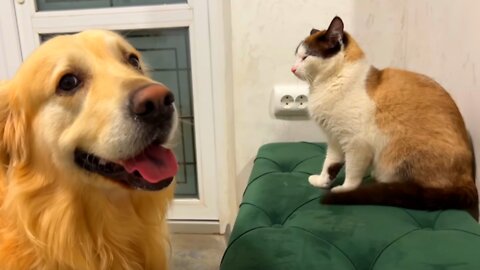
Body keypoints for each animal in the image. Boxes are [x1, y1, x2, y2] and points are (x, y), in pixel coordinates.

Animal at [290, 15, 478, 218]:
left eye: (306, 56)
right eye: (296, 55)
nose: (292, 68)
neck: (328, 84)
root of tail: (469, 178)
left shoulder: (355, 144)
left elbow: (351, 173)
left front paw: (343, 190)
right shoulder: (334, 139)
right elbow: (329, 164)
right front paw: (322, 182)